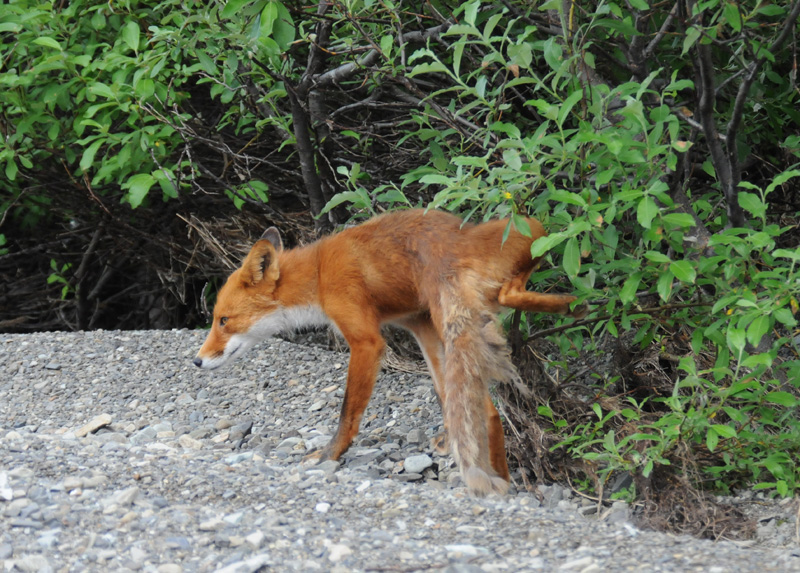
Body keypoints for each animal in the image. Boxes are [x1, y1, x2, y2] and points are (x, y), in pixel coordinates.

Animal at [191, 208, 584, 494]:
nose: (197, 360)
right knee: (486, 409)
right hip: (504, 251)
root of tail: (449, 250)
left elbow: (348, 412)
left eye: (223, 320)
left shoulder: (366, 340)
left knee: (510, 293)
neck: (317, 274)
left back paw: (571, 304)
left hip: (520, 232)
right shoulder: (415, 323)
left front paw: (330, 454)